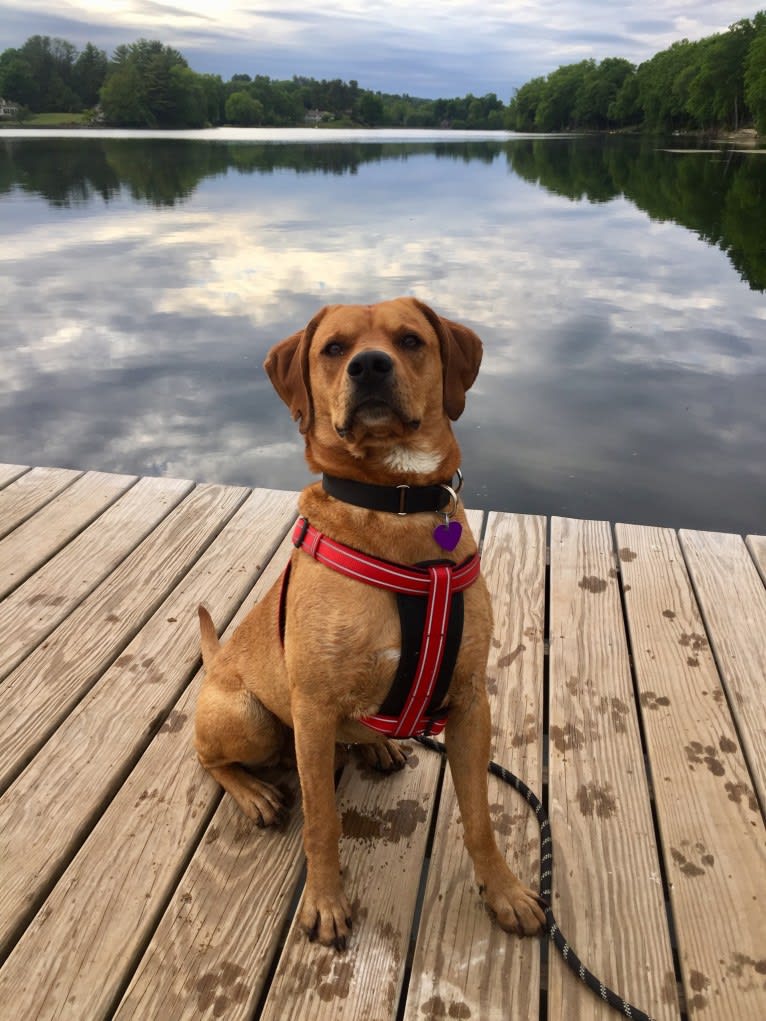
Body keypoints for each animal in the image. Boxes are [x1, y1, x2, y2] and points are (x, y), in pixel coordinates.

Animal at [195, 296, 547, 947]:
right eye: (334, 349)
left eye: (410, 340)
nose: (370, 366)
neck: (398, 503)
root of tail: (217, 663)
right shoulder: (311, 711)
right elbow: (322, 822)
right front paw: (325, 901)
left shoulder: (469, 702)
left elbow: (480, 818)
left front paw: (505, 892)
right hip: (249, 719)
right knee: (210, 758)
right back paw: (254, 793)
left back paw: (377, 746)